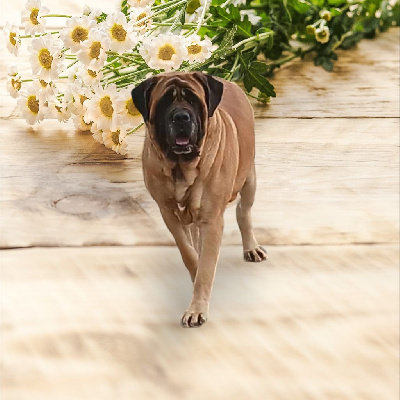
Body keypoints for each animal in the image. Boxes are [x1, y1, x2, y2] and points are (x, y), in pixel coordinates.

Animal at [131, 71, 267, 328]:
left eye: (193, 100)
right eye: (164, 101)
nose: (181, 117)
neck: (181, 168)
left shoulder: (212, 219)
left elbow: (205, 264)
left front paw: (196, 308)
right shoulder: (168, 213)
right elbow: (189, 253)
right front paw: (196, 281)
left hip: (250, 179)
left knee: (243, 211)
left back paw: (252, 247)